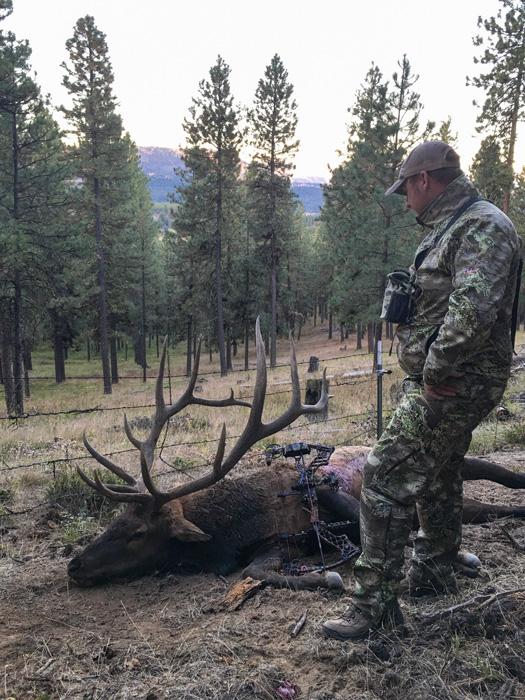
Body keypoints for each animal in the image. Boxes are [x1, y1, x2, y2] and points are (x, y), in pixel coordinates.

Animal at [68, 320, 525, 591]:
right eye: (114, 521)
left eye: (137, 533)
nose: (74, 564)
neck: (232, 528)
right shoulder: (275, 544)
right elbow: (255, 569)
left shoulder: (310, 506)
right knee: (484, 505)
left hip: (454, 464)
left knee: (499, 483)